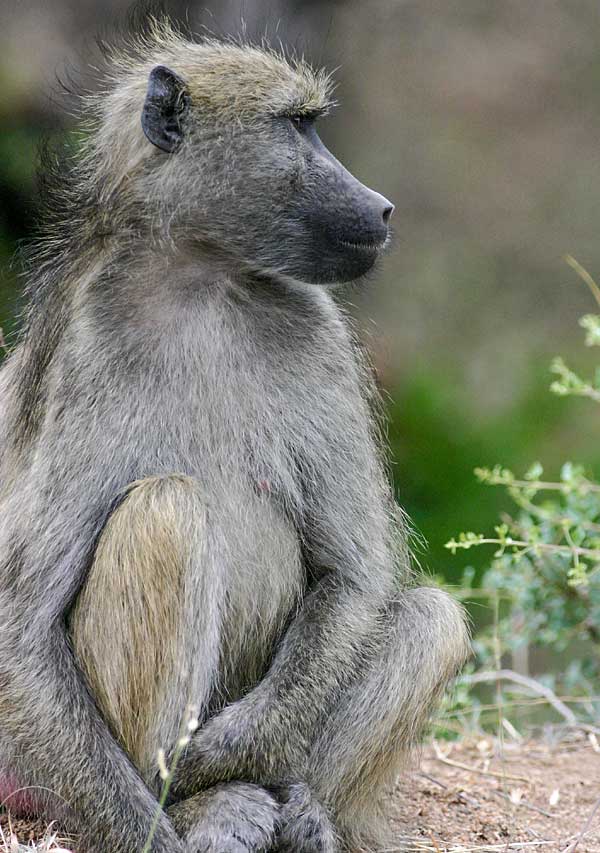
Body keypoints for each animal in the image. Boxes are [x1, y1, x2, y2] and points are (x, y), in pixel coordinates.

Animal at [0, 17, 470, 853]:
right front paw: (171, 813)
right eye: (297, 125)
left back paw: (305, 809)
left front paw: (225, 752)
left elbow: (351, 574)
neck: (201, 278)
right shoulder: (84, 345)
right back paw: (202, 807)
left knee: (431, 619)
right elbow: (24, 625)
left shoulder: (318, 329)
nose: (382, 209)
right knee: (169, 507)